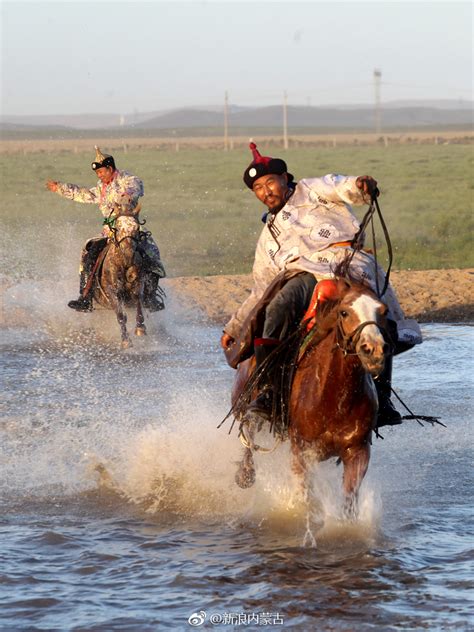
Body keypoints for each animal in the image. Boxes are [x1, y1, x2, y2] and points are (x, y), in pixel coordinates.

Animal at [91, 215, 145, 348]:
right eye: (118, 228)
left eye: (137, 228)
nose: (129, 254)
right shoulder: (112, 292)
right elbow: (121, 315)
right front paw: (126, 340)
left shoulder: (139, 282)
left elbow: (138, 298)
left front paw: (140, 328)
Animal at [230, 276, 388, 512]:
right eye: (344, 312)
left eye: (383, 311)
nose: (374, 351)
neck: (334, 397)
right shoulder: (301, 452)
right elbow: (306, 498)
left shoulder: (357, 452)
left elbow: (348, 503)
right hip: (246, 406)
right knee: (249, 433)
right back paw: (245, 474)